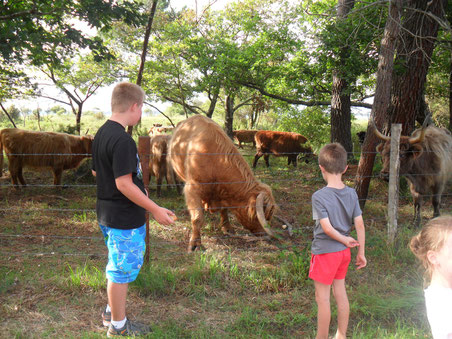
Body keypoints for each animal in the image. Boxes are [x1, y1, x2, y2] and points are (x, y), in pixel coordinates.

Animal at [169, 115, 276, 251]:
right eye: (263, 216)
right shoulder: (192, 189)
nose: (265, 235)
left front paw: (227, 228)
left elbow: (224, 210)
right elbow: (197, 218)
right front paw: (195, 244)